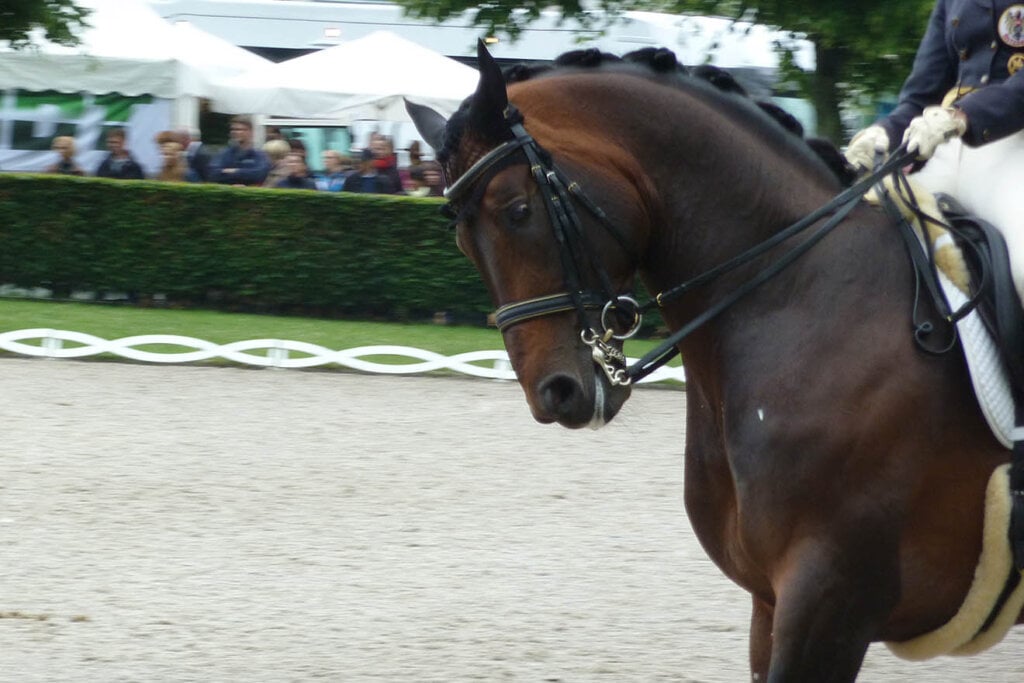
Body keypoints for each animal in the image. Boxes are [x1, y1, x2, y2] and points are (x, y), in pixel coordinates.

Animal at [405, 44, 1015, 683]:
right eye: (461, 241)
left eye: (518, 210)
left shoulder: (831, 598)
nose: (555, 394)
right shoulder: (770, 602)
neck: (800, 293)